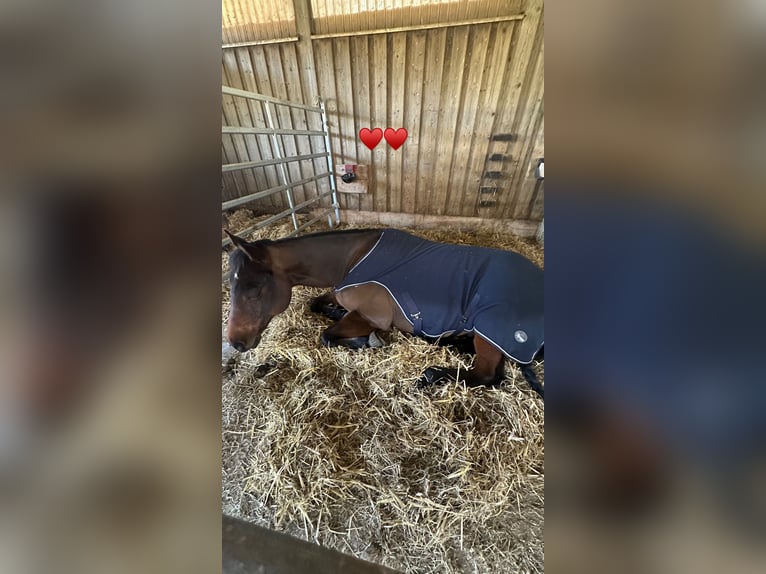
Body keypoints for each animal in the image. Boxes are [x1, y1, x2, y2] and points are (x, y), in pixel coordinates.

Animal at [224, 228, 544, 397]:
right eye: (232, 284)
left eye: (255, 288)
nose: (236, 342)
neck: (352, 260)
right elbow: (315, 304)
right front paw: (335, 313)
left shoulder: (369, 315)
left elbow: (327, 336)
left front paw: (368, 340)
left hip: (490, 331)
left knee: (487, 375)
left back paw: (431, 374)